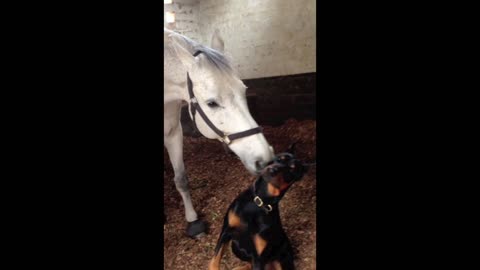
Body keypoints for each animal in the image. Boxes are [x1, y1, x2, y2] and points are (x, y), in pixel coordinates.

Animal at [165, 28, 276, 237]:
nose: (264, 159)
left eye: (244, 91)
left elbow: (181, 179)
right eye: (212, 103)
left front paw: (193, 221)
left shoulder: (173, 133)